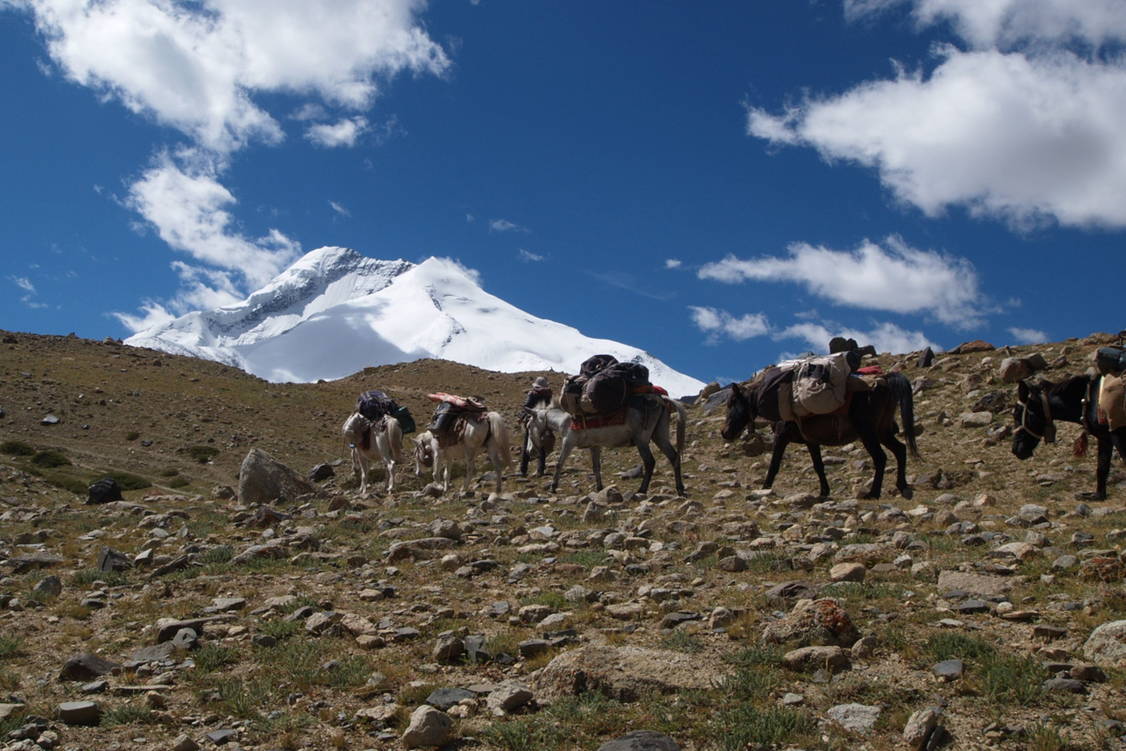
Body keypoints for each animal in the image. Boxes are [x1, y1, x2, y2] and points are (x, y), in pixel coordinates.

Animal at [531, 396, 689, 495]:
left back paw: (642, 490)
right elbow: (596, 467)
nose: (533, 450)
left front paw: (553, 487)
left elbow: (559, 464)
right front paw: (600, 488)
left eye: (529, 423)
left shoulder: (568, 442)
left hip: (642, 440)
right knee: (674, 457)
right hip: (659, 436)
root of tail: (662, 400)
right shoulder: (594, 446)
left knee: (650, 462)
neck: (564, 420)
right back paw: (680, 489)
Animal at [725, 371, 918, 499]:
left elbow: (774, 465)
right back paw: (901, 485)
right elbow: (818, 466)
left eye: (733, 402)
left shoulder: (781, 437)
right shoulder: (811, 441)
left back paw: (873, 493)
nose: (724, 432)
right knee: (900, 450)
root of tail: (885, 380)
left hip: (868, 433)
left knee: (880, 458)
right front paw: (824, 492)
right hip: (882, 432)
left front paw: (764, 489)